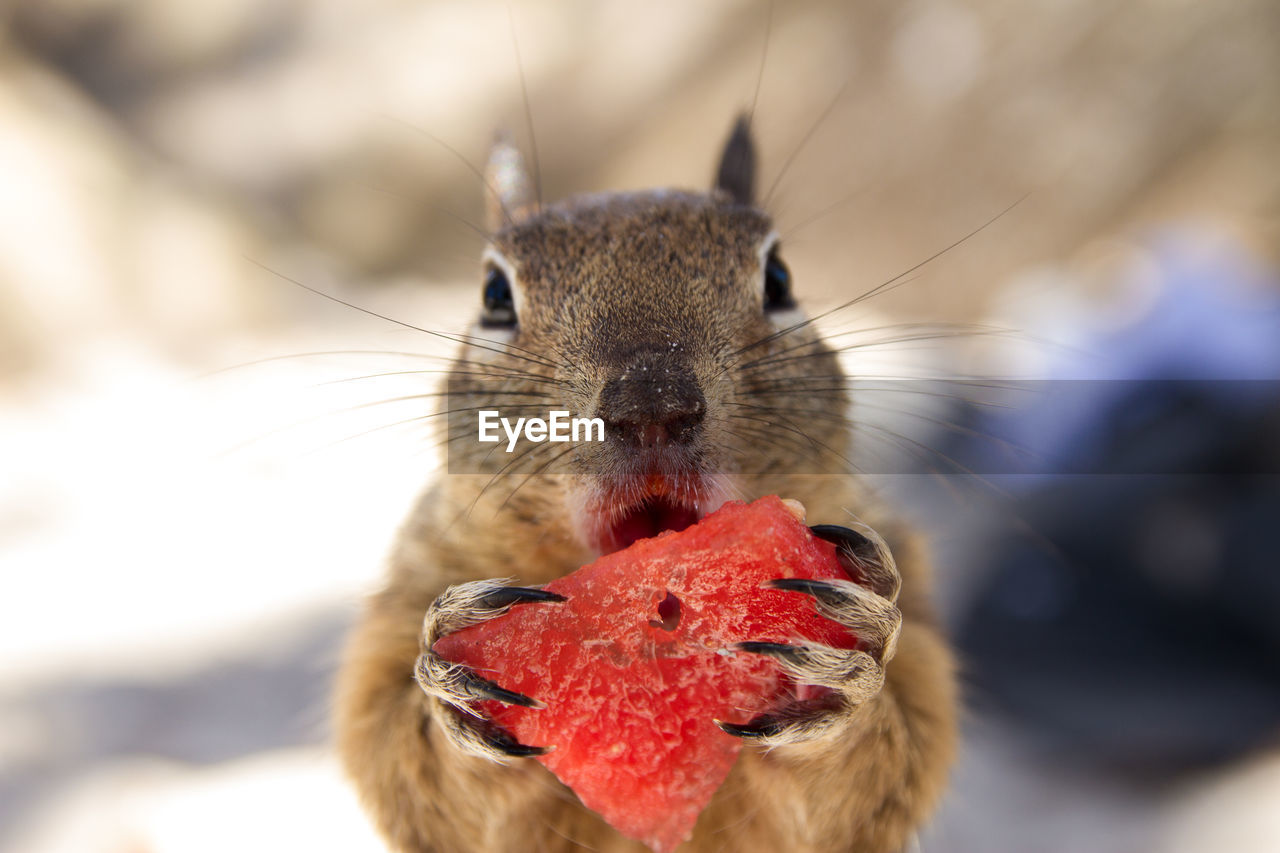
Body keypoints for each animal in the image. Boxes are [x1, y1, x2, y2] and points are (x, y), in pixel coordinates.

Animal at [335, 114, 957, 850]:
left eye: (779, 278)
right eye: (493, 296)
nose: (653, 401)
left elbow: (881, 768)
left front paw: (847, 670)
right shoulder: (408, 588)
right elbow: (407, 764)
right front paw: (457, 691)